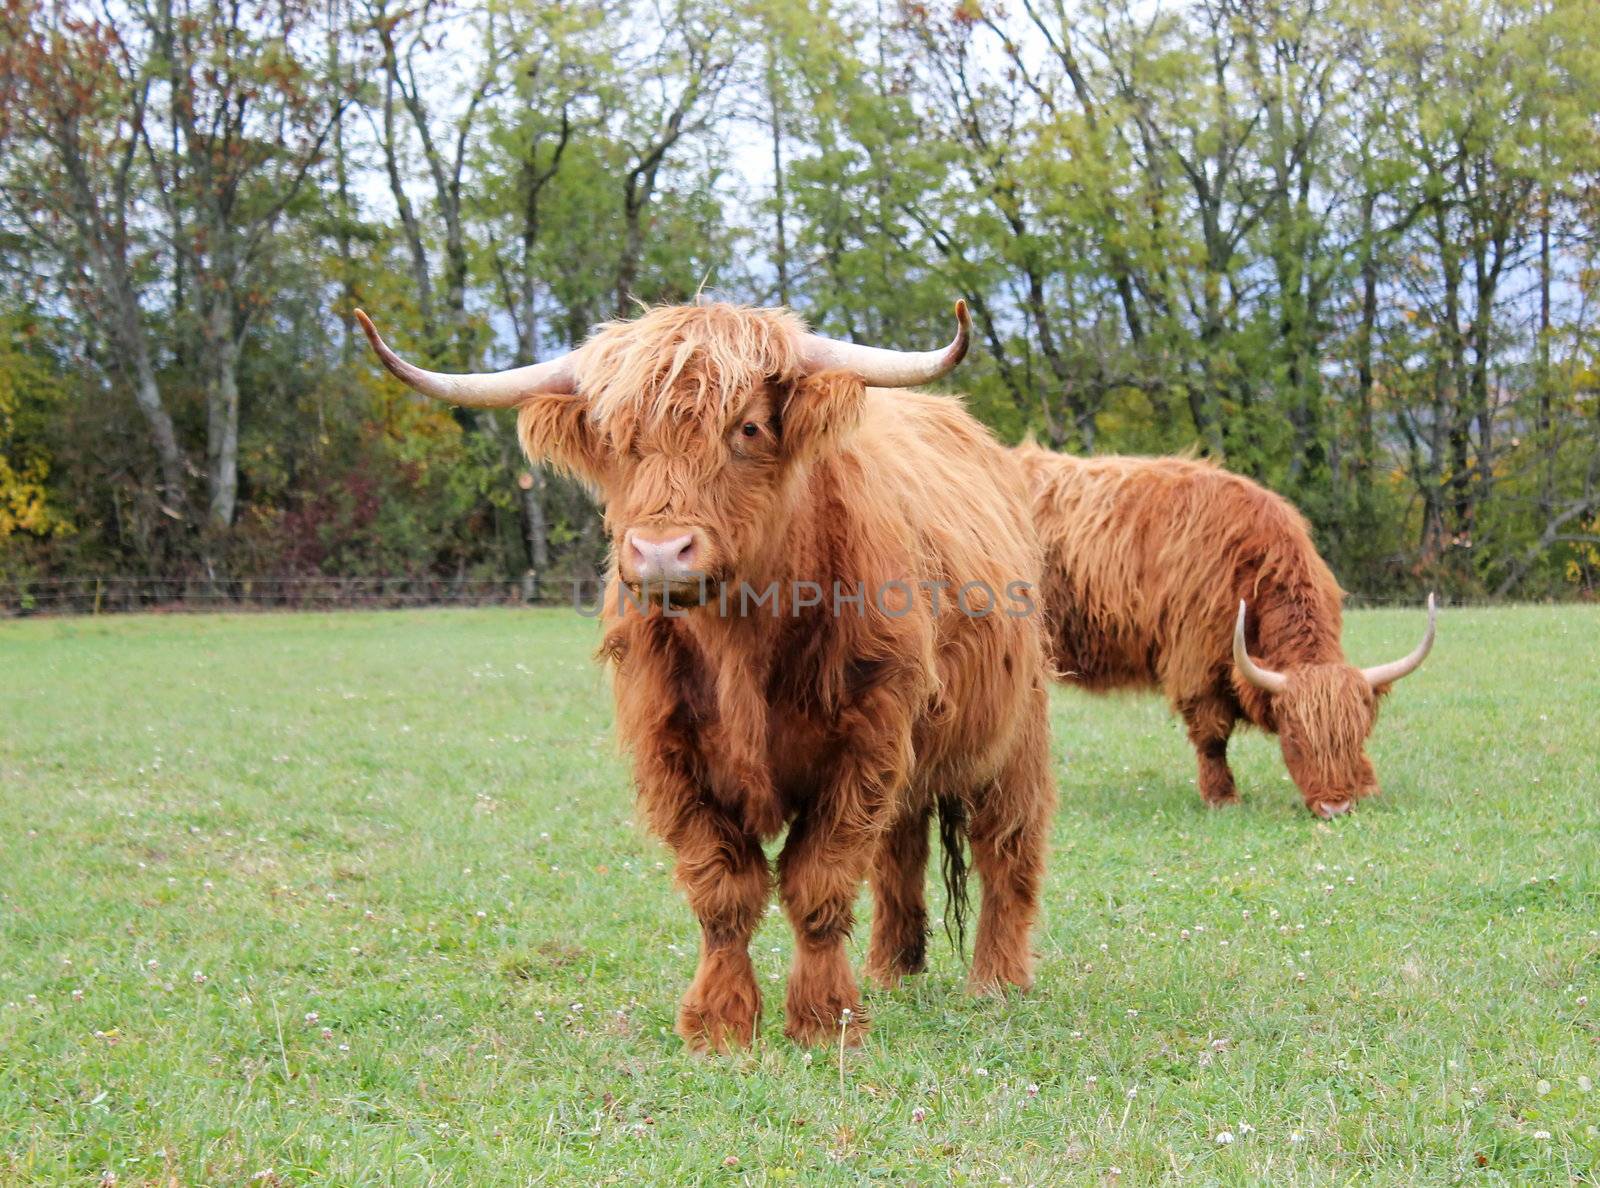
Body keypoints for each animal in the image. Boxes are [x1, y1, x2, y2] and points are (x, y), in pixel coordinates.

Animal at [353, 299, 1049, 1050]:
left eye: (747, 426)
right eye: (615, 436)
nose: (661, 552)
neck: (741, 642)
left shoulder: (864, 745)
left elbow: (819, 881)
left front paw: (826, 1020)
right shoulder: (672, 753)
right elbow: (724, 890)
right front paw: (720, 1024)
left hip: (1016, 734)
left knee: (1006, 847)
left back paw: (998, 981)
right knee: (900, 851)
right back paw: (893, 971)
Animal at [1017, 448, 1446, 819]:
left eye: (1357, 735)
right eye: (1294, 740)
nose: (1335, 807)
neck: (1253, 565)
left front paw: (1369, 784)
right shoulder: (1195, 661)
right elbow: (1212, 735)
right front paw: (1222, 797)